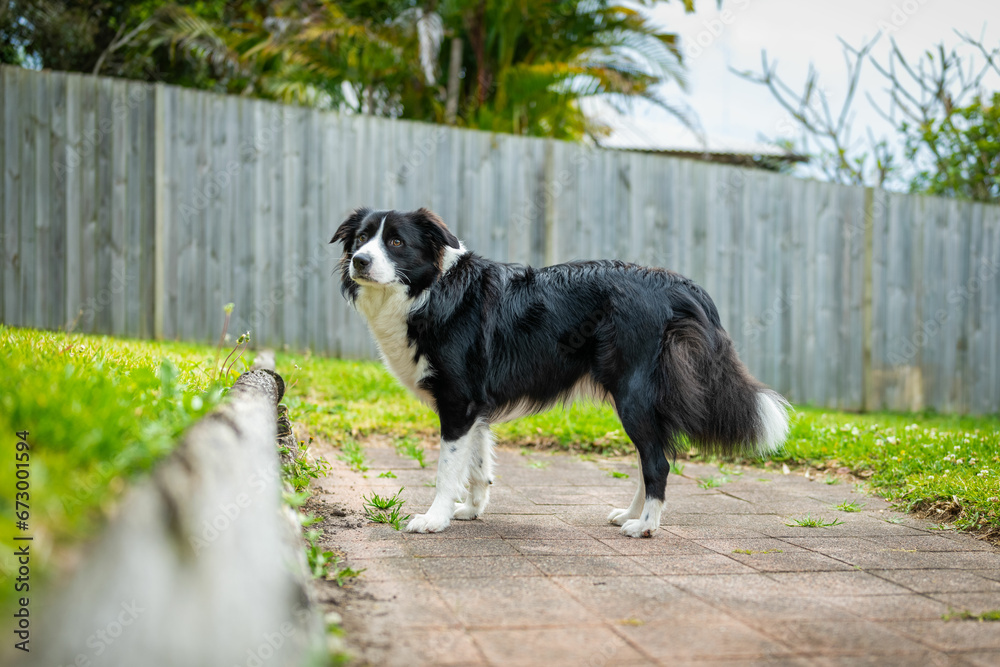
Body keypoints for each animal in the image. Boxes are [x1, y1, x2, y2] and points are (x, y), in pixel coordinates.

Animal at [332, 207, 792, 536]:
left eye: (395, 241)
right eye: (361, 239)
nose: (359, 261)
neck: (431, 290)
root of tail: (677, 285)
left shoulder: (458, 402)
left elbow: (447, 470)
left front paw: (434, 519)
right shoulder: (475, 406)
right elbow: (478, 466)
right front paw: (471, 510)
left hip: (633, 395)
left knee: (658, 462)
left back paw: (645, 527)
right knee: (651, 458)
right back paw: (630, 514)